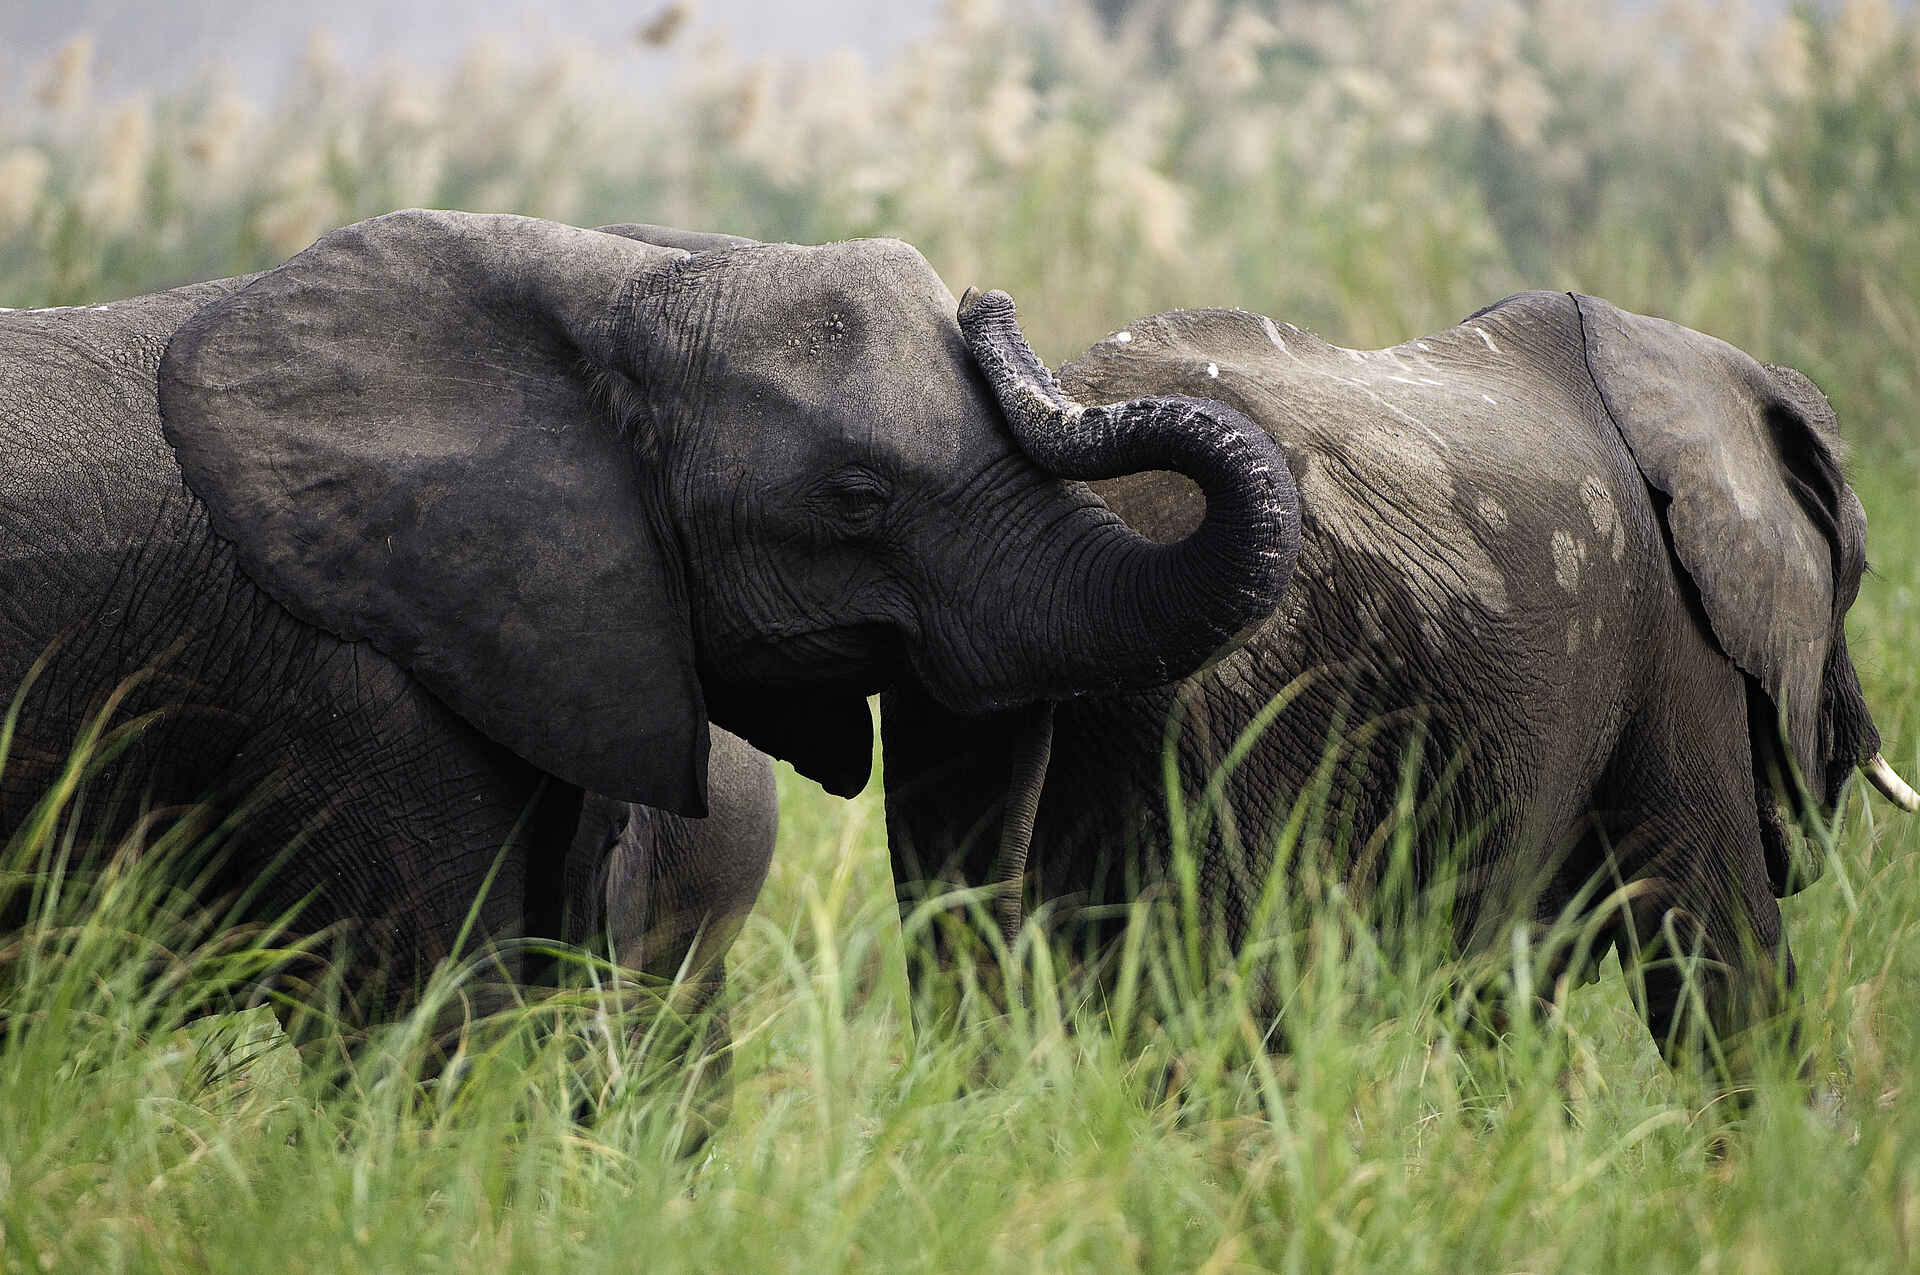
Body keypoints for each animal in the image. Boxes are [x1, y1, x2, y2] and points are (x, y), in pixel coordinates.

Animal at [883, 290, 1916, 1071]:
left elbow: (1514, 990)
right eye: (1859, 575)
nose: (978, 301)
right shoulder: (1675, 641)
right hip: (1221, 710)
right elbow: (1718, 950)